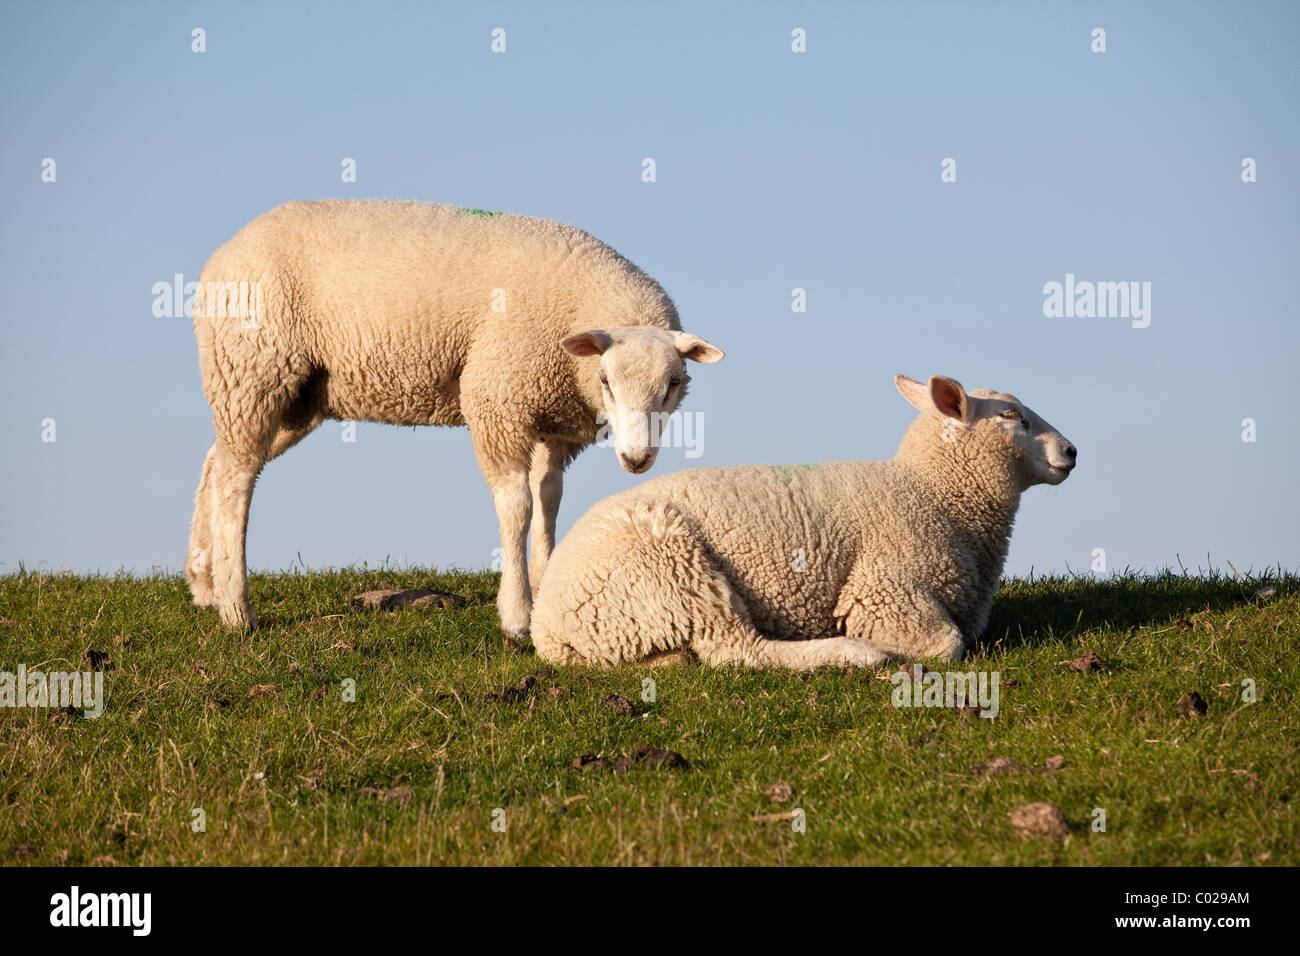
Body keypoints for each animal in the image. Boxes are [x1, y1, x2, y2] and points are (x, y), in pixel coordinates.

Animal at [188, 200, 728, 634]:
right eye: (606, 381)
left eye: (673, 384)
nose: (636, 459)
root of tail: (219, 258)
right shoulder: (498, 400)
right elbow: (517, 506)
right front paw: (516, 614)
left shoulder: (553, 423)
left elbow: (549, 501)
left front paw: (545, 585)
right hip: (253, 368)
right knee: (236, 481)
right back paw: (236, 608)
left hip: (292, 397)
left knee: (218, 462)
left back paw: (203, 582)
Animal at [530, 369, 1076, 671]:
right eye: (1011, 416)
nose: (1071, 451)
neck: (934, 494)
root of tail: (547, 625)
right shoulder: (885, 590)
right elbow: (947, 645)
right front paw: (885, 647)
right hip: (674, 569)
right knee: (739, 651)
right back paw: (853, 653)